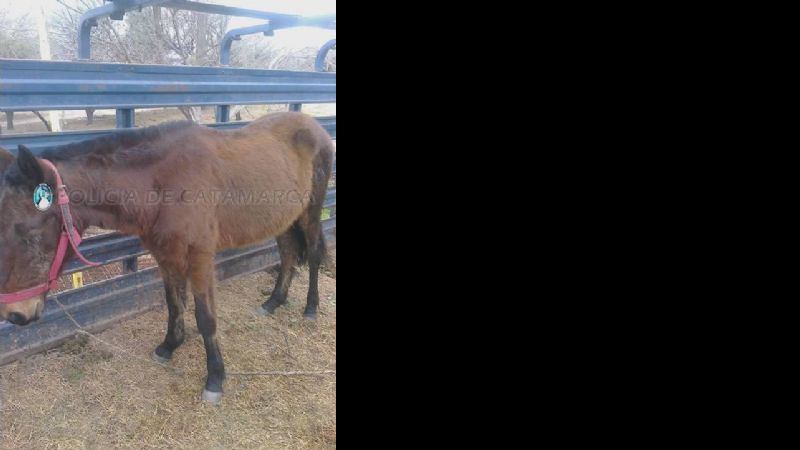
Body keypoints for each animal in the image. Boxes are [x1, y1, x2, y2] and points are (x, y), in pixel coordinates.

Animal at [0, 112, 334, 404]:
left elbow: (205, 318)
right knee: (287, 254)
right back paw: (274, 301)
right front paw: (169, 346)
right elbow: (174, 304)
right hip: (284, 219)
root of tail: (313, 126)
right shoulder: (166, 256)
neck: (163, 182)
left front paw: (215, 379)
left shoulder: (200, 259)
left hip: (310, 213)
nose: (16, 315)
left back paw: (310, 308)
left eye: (28, 233)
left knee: (313, 256)